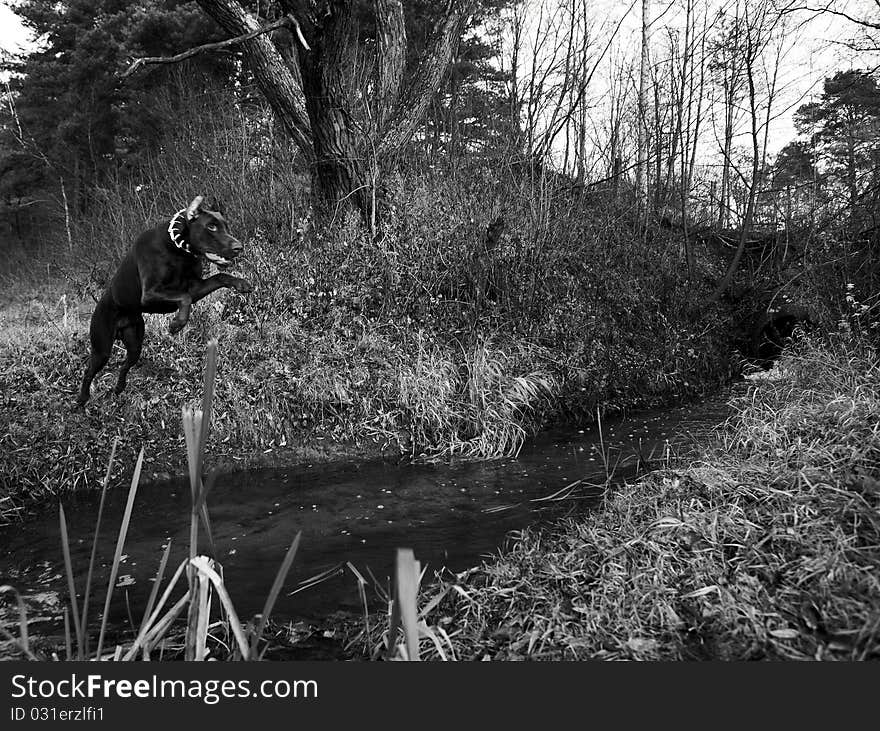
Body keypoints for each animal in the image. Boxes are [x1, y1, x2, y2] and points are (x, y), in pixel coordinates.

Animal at [75, 194, 251, 408]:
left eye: (225, 225)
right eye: (211, 227)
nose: (238, 247)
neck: (178, 248)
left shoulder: (195, 287)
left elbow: (219, 277)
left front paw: (241, 283)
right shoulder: (150, 294)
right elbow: (184, 298)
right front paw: (177, 324)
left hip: (135, 343)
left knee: (125, 365)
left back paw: (119, 387)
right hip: (102, 348)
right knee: (89, 371)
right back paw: (82, 398)